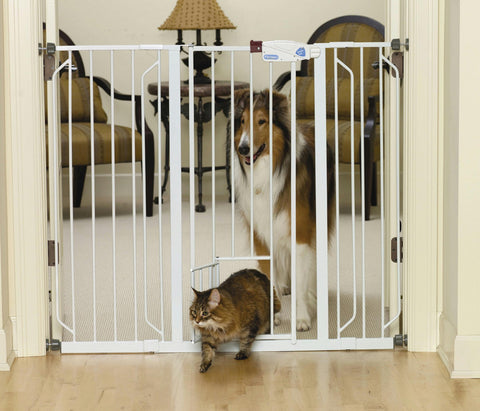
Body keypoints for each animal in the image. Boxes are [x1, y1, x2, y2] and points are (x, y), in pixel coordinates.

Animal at [232, 89, 334, 332]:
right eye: (243, 121)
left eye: (262, 121)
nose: (243, 148)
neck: (268, 170)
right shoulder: (260, 234)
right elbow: (269, 272)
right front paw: (273, 315)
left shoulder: (301, 233)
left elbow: (301, 275)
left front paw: (302, 318)